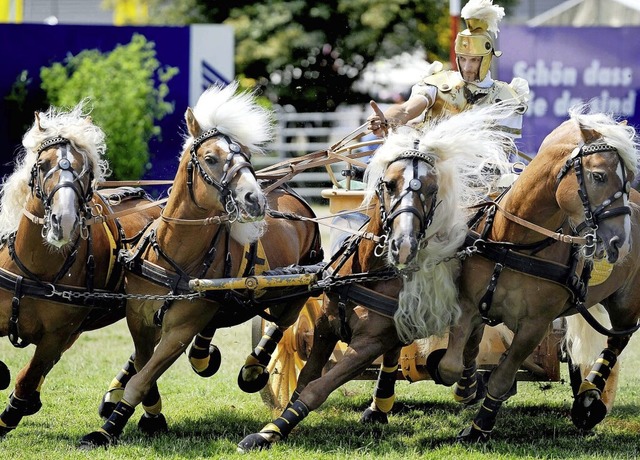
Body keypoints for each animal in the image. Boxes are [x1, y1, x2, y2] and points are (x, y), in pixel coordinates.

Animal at [0, 104, 162, 438]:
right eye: (42, 165)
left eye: (85, 170)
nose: (63, 220)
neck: (36, 270)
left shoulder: (56, 335)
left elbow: (28, 377)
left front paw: (12, 412)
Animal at [77, 82, 322, 450]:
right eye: (211, 158)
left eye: (246, 157)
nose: (255, 199)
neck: (176, 253)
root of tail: (296, 199)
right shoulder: (139, 319)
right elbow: (143, 368)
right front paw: (136, 415)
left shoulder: (180, 329)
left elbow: (143, 378)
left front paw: (108, 429)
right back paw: (202, 355)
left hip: (298, 287)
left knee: (283, 323)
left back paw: (252, 367)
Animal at [238, 102, 516, 452]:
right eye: (389, 184)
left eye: (431, 189)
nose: (404, 245)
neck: (366, 273)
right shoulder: (326, 325)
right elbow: (306, 377)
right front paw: (278, 424)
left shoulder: (369, 343)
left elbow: (320, 386)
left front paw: (270, 431)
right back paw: (383, 404)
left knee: (470, 338)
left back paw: (466, 385)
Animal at [424, 104, 636, 442]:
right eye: (599, 175)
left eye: (630, 179)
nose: (621, 243)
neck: (517, 242)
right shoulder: (468, 304)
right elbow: (453, 363)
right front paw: (467, 386)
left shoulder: (534, 326)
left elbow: (502, 376)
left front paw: (479, 427)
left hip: (627, 303)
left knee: (617, 342)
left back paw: (590, 397)